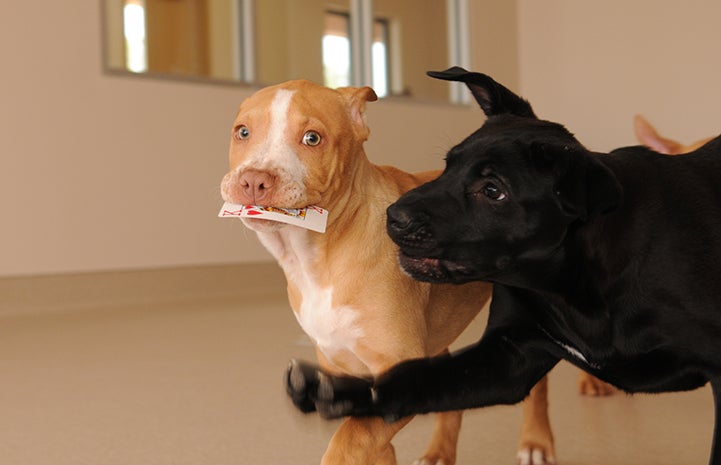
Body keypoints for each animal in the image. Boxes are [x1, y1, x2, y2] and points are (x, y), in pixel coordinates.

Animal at [219, 79, 564, 460]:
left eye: (312, 138)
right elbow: (369, 438)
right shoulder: (339, 368)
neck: (319, 257)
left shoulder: (397, 362)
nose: (253, 180)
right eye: (243, 132)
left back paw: (537, 439)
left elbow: (349, 440)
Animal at [286, 67, 720, 462]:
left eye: (493, 191)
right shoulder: (507, 358)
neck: (572, 284)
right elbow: (412, 379)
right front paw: (343, 393)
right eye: (448, 164)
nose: (393, 217)